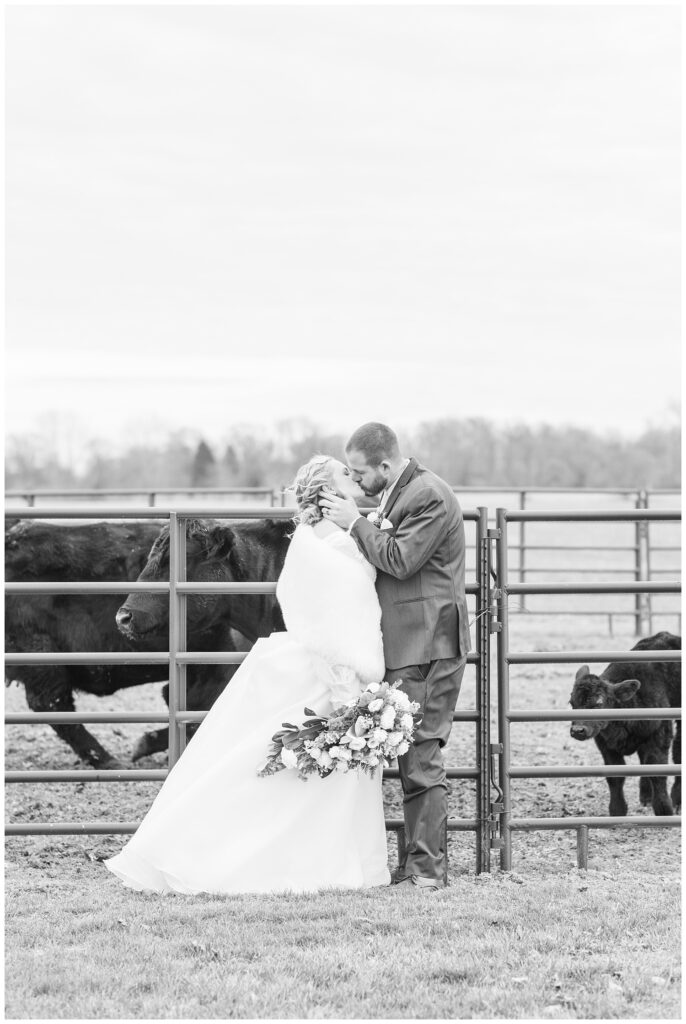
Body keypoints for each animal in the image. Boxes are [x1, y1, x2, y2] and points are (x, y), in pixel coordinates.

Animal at [569, 630, 683, 815]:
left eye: (599, 703)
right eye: (572, 703)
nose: (578, 730)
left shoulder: (659, 734)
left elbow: (657, 772)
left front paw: (664, 810)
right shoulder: (604, 743)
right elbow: (616, 775)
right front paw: (617, 810)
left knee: (678, 752)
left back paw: (677, 800)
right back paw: (646, 796)